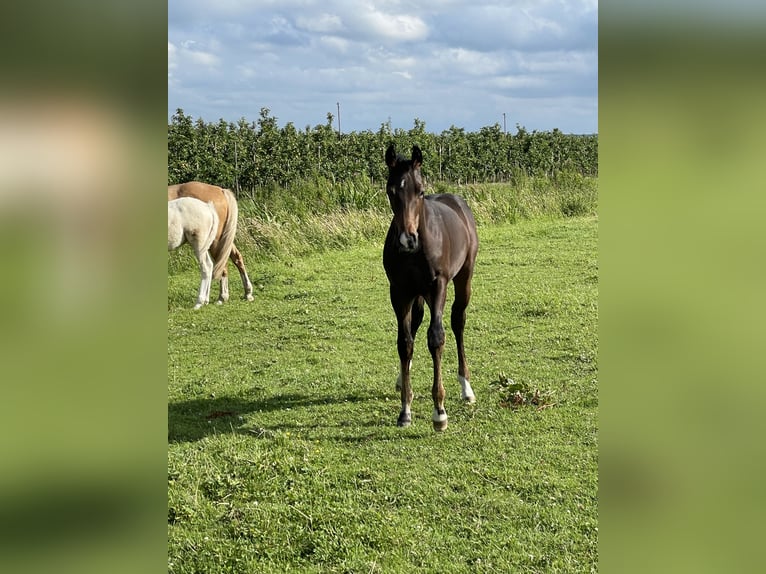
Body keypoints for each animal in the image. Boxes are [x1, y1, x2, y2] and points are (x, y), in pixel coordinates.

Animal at [384, 144, 480, 432]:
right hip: (416, 294)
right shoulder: (399, 291)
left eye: (420, 190)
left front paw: (439, 412)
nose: (407, 239)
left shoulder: (437, 286)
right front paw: (405, 410)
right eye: (391, 191)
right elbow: (404, 342)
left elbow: (436, 338)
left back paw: (466, 388)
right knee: (415, 325)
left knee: (458, 321)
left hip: (463, 279)